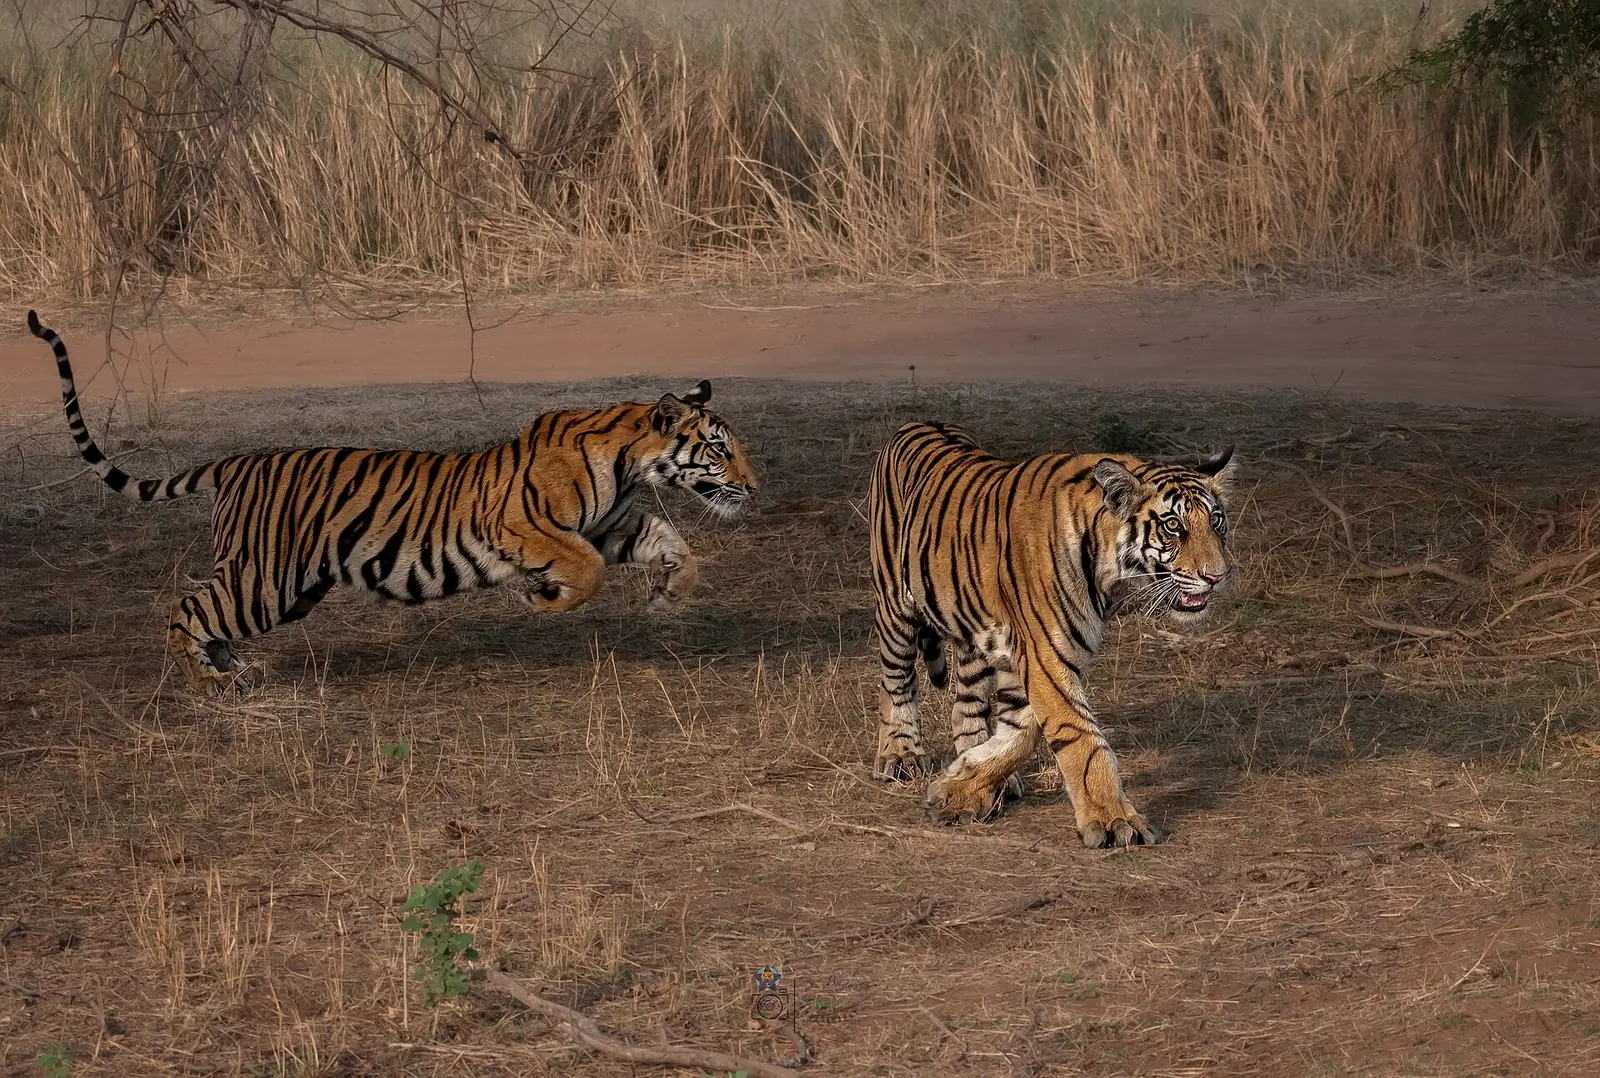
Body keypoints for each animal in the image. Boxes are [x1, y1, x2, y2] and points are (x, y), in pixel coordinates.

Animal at [27, 310, 758, 691]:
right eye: (719, 449)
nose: (754, 486)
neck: (632, 464)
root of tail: (242, 460)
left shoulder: (614, 523)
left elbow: (672, 544)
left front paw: (670, 593)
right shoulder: (528, 525)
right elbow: (589, 571)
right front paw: (541, 599)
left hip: (283, 588)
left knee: (205, 610)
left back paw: (233, 665)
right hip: (264, 581)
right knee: (184, 608)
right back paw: (211, 682)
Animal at [867, 420, 1236, 849]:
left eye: (1216, 522)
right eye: (1173, 525)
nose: (1217, 576)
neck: (1108, 572)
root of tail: (915, 424)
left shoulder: (1032, 659)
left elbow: (1020, 732)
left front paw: (960, 789)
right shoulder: (1045, 656)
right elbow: (1083, 740)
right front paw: (1114, 822)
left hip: (971, 633)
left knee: (967, 704)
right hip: (895, 608)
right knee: (895, 683)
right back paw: (900, 755)